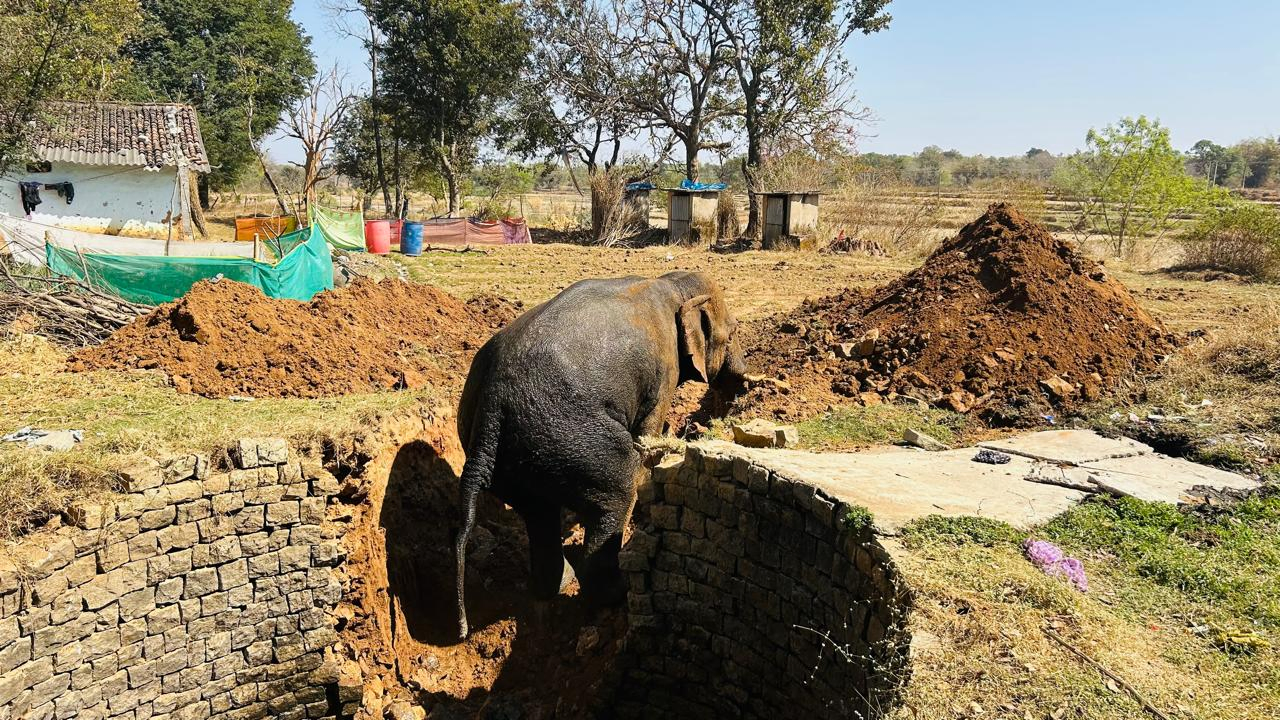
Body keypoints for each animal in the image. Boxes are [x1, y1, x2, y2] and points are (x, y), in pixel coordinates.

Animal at [453, 271, 748, 638]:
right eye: (733, 332)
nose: (743, 387)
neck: (671, 284)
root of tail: (492, 407)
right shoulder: (664, 371)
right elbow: (646, 436)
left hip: (520, 458)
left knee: (538, 513)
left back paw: (560, 583)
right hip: (578, 442)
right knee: (615, 494)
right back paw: (617, 593)